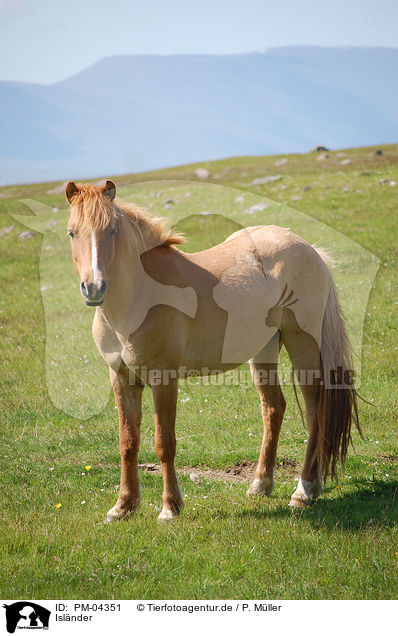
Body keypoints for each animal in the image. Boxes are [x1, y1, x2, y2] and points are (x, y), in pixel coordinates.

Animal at [66, 179, 360, 520]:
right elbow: (128, 442)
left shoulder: (163, 379)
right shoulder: (122, 379)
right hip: (264, 349)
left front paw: (170, 507)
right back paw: (261, 484)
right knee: (274, 408)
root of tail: (309, 249)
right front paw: (123, 506)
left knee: (315, 411)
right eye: (72, 232)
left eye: (112, 230)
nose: (93, 288)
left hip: (303, 346)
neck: (139, 297)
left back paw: (304, 490)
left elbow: (164, 443)